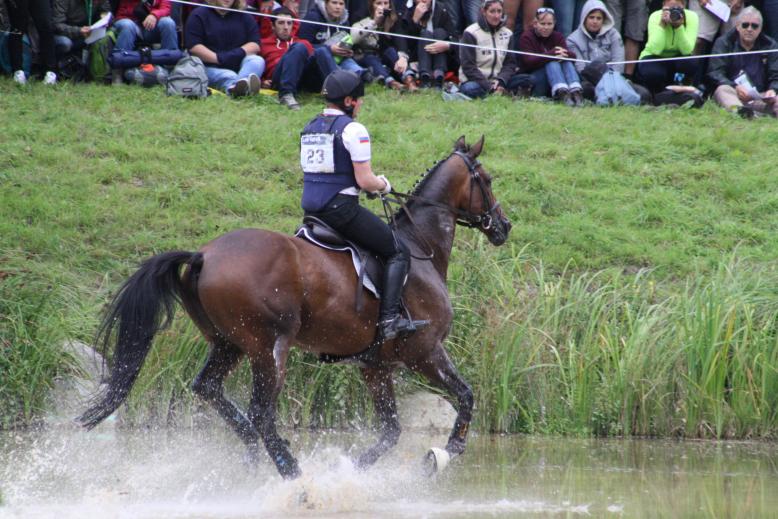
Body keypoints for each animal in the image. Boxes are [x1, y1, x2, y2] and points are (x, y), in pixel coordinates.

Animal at [79, 134, 510, 480]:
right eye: (486, 180)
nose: (504, 227)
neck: (420, 247)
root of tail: (204, 256)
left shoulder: (375, 366)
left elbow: (390, 432)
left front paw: (352, 470)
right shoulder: (425, 352)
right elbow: (466, 396)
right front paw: (442, 455)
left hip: (228, 343)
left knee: (210, 389)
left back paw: (253, 457)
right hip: (269, 347)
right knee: (260, 413)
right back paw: (292, 473)